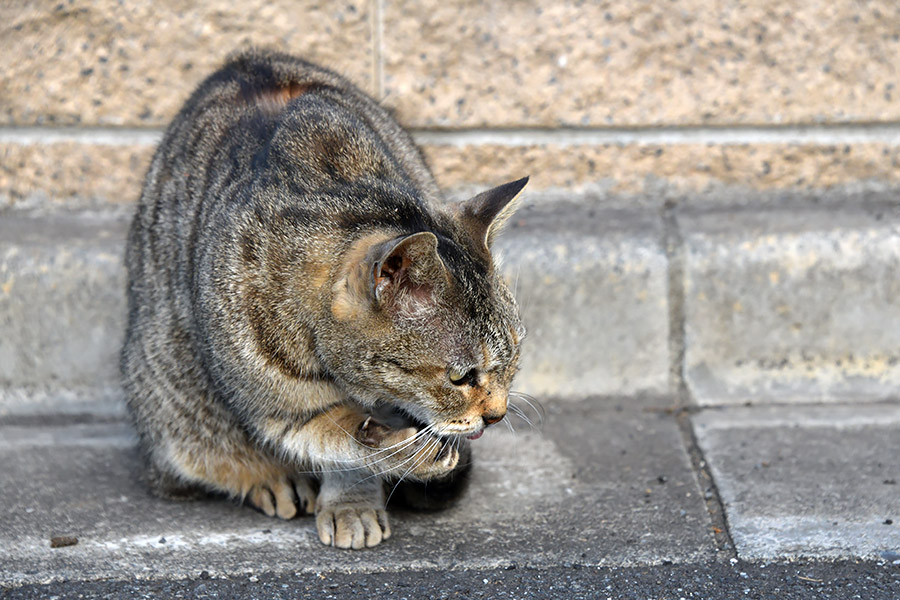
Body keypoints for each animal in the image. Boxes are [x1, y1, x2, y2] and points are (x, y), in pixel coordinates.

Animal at [119, 49, 528, 552]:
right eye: (460, 377)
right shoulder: (284, 412)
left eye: (515, 357)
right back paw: (273, 479)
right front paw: (395, 460)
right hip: (168, 396)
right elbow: (340, 443)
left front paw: (355, 501)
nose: (497, 415)